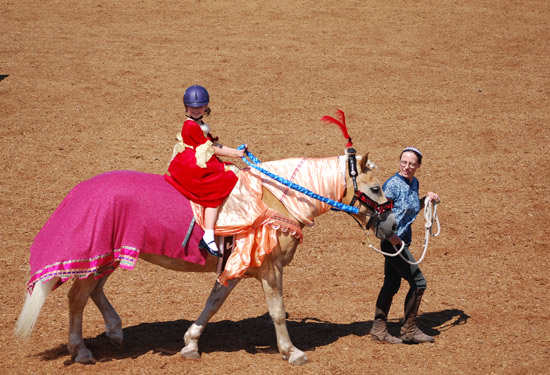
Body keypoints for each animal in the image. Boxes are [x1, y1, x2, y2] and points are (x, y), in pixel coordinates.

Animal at [15, 153, 398, 368]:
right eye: (376, 188)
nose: (393, 225)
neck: (277, 199)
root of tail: (79, 191)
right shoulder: (270, 269)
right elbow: (277, 311)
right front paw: (292, 352)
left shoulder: (236, 267)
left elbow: (213, 303)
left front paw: (190, 343)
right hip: (101, 257)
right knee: (77, 296)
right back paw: (81, 350)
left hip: (110, 256)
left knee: (91, 292)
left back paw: (114, 330)